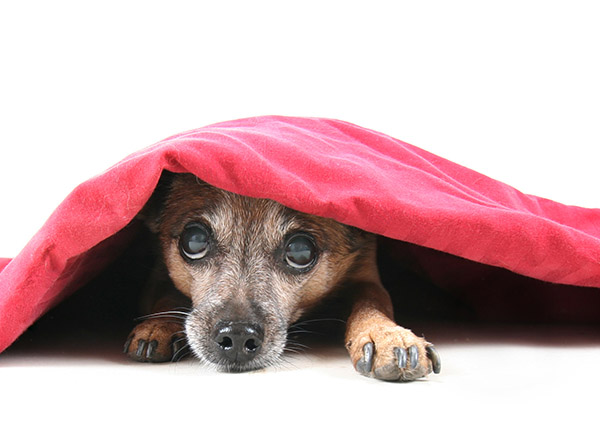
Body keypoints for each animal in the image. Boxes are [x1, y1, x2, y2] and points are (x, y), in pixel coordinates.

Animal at [123, 172, 440, 384]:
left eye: (300, 251)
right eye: (194, 240)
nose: (237, 335)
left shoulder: (366, 277)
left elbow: (371, 303)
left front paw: (387, 334)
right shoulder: (157, 277)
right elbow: (167, 296)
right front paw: (158, 326)